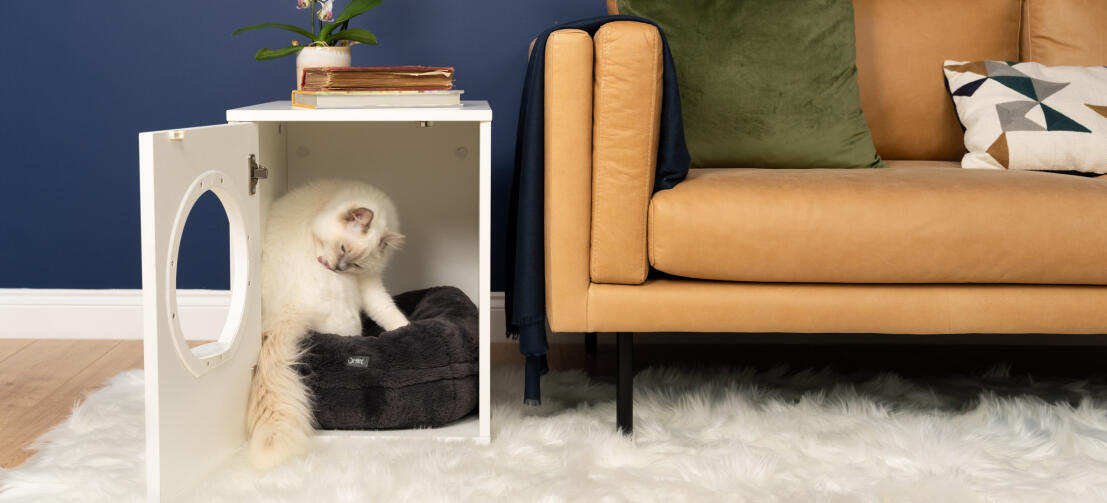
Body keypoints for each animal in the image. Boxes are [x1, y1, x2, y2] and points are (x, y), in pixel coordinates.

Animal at [249, 178, 409, 469]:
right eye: (343, 248)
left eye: (355, 263)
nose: (336, 268)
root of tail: (286, 312)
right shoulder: (366, 284)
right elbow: (385, 309)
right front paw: (405, 327)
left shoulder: (366, 278)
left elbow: (386, 309)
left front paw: (405, 327)